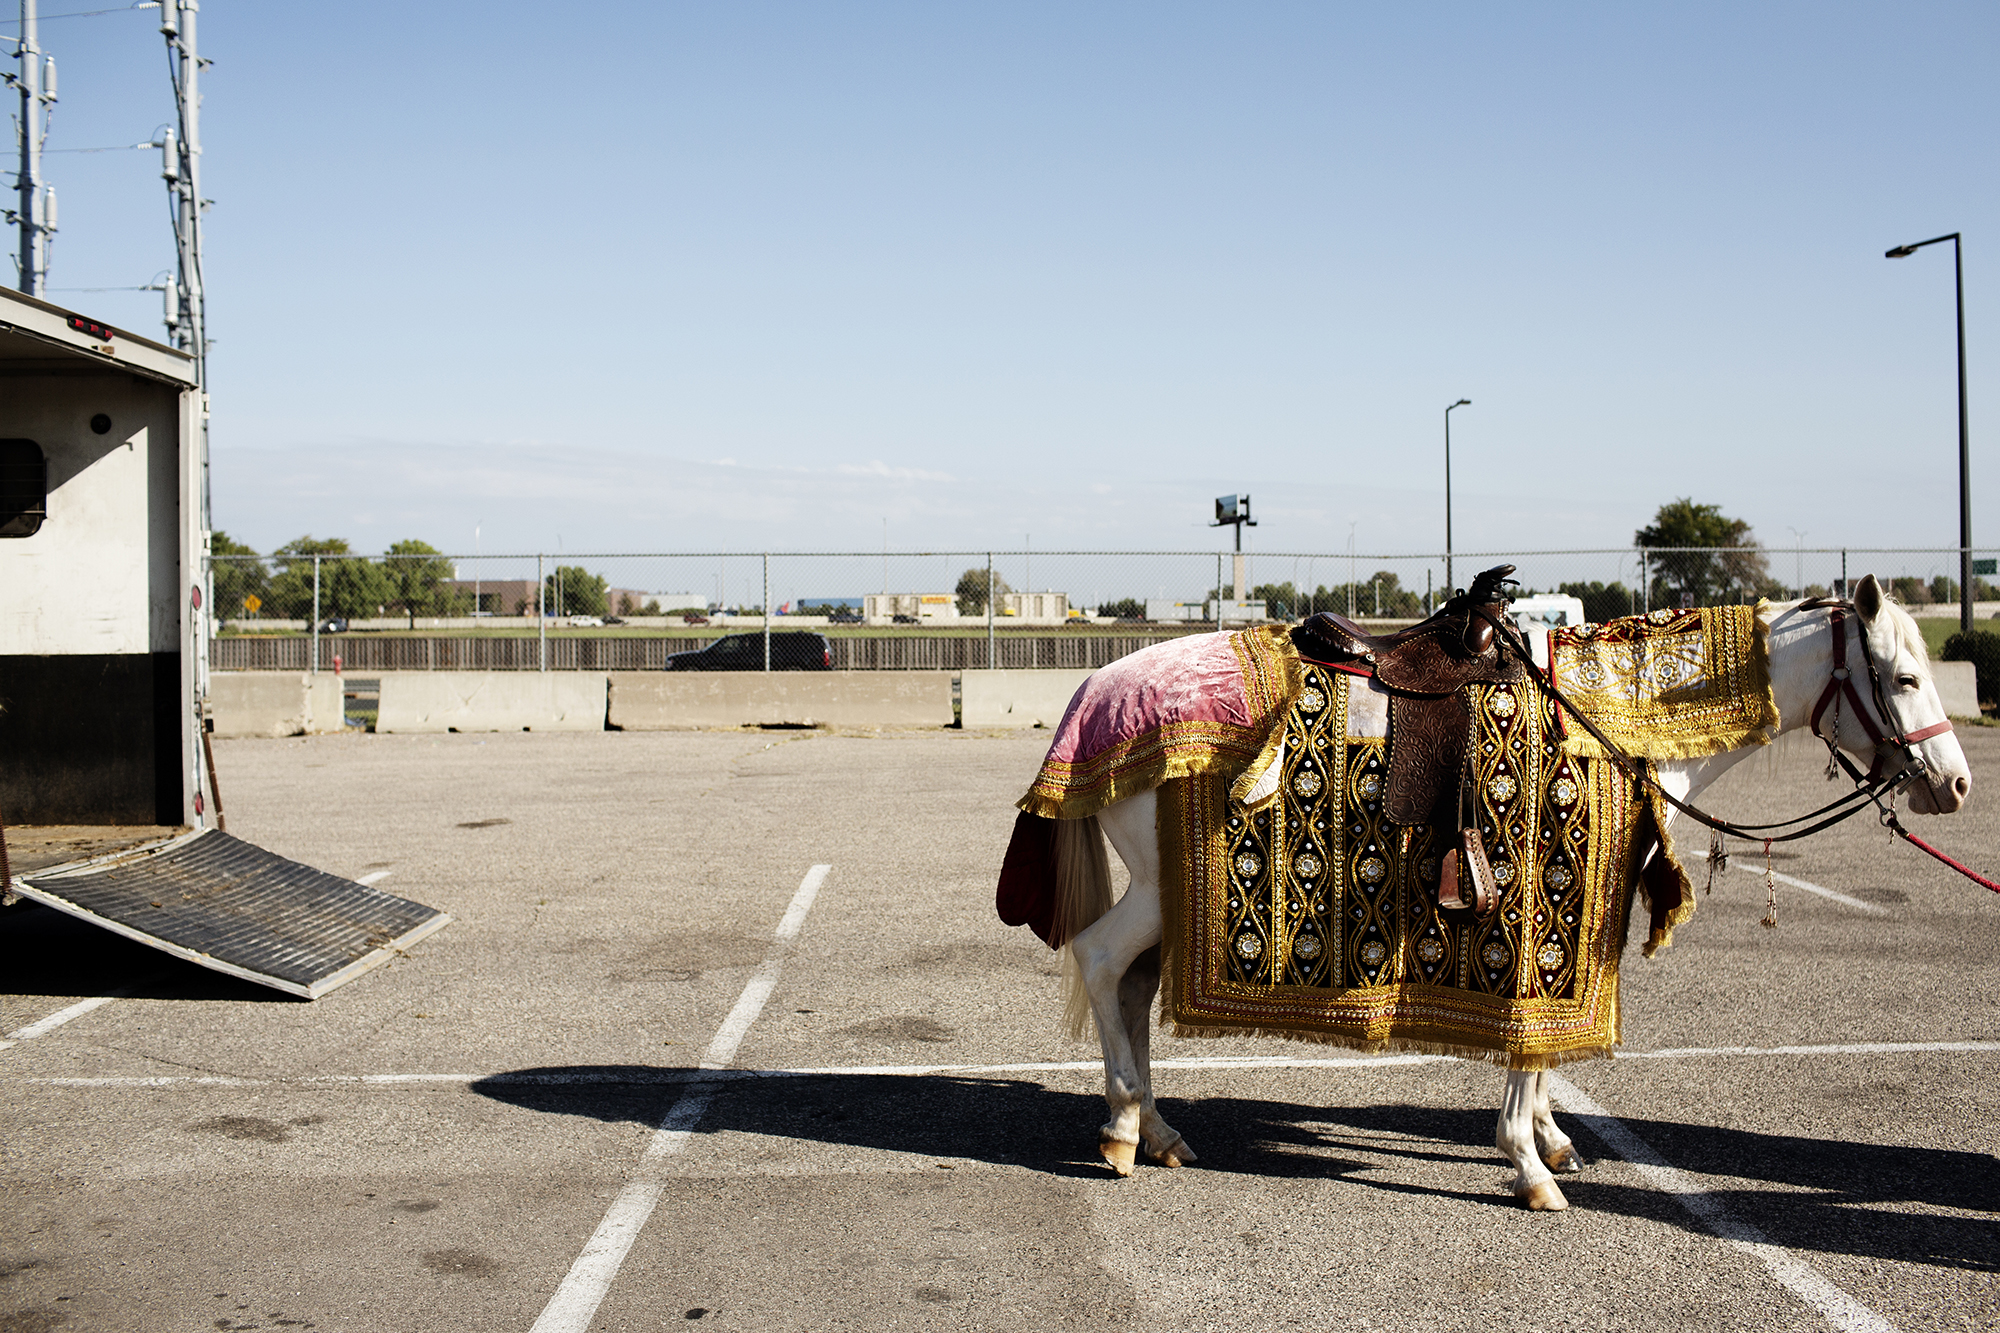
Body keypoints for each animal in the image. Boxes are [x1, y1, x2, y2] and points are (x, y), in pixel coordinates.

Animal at [1064, 576, 1968, 1208]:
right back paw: (1122, 1126)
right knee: (1102, 961)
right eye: (1903, 677)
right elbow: (1531, 1040)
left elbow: (1542, 1046)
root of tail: (1095, 693)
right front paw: (1530, 1161)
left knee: (1133, 985)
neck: (1609, 715)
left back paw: (1159, 1128)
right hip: (1155, 889)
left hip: (1165, 896)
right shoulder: (1547, 902)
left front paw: (1548, 1138)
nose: (1955, 782)